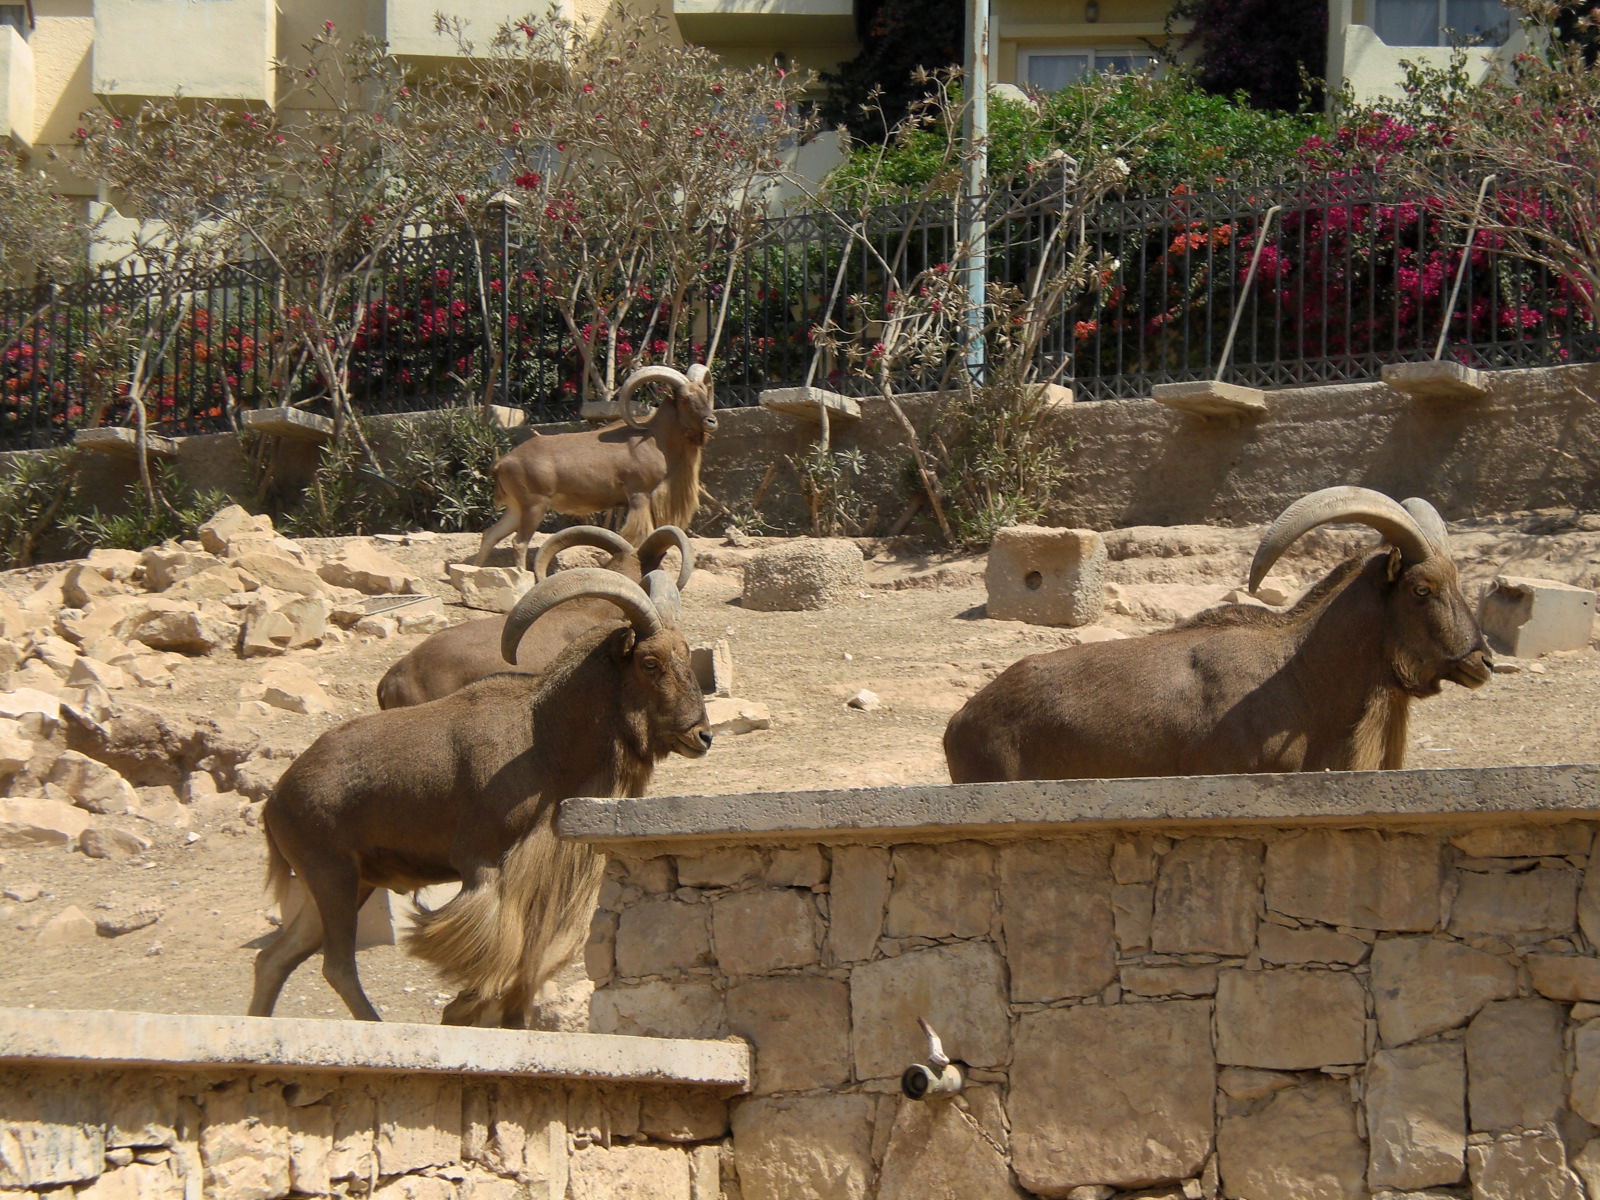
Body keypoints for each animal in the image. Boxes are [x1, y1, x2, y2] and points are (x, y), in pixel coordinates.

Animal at [251, 563, 713, 1024]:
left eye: (687, 655)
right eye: (650, 662)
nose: (702, 735)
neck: (543, 737)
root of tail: (275, 801)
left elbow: (532, 959)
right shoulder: (481, 862)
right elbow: (497, 951)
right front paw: (463, 1008)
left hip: (346, 881)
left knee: (276, 958)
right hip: (332, 875)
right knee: (336, 966)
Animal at [470, 361, 716, 563]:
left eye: (705, 394)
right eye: (685, 399)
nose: (711, 420)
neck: (654, 438)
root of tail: (503, 463)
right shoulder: (639, 494)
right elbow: (638, 535)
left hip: (516, 508)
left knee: (490, 535)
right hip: (534, 505)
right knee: (519, 542)